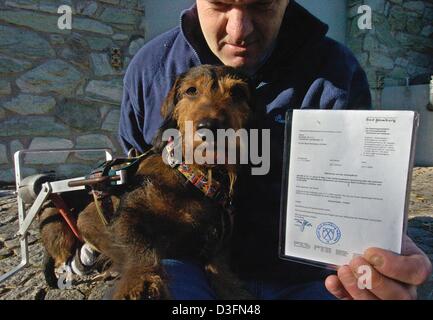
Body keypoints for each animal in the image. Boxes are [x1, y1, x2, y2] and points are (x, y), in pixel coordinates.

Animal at [38, 65, 255, 300]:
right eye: (191, 90)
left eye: (238, 93)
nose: (210, 127)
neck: (194, 175)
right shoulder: (126, 214)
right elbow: (138, 246)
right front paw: (139, 282)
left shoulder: (216, 238)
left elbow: (221, 269)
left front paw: (234, 290)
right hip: (53, 218)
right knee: (62, 258)